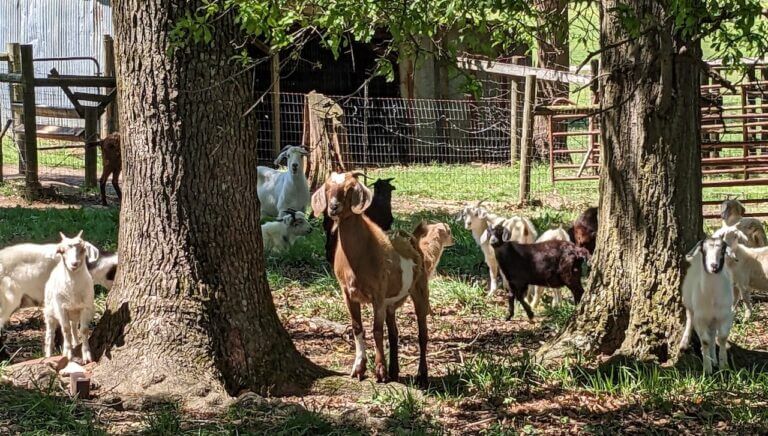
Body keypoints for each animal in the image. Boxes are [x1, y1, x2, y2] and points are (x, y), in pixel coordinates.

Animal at [43, 233, 95, 362]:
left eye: (83, 249)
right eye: (62, 251)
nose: (74, 264)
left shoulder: (85, 307)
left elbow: (83, 330)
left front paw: (86, 355)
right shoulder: (61, 308)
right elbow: (65, 329)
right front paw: (68, 353)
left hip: (74, 313)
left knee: (74, 329)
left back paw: (75, 343)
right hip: (49, 312)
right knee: (50, 334)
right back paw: (48, 355)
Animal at [312, 172, 432, 386]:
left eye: (350, 189)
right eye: (327, 189)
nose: (333, 207)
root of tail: (412, 238)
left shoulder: (378, 293)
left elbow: (376, 330)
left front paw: (380, 371)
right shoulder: (347, 293)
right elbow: (357, 327)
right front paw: (359, 368)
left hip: (419, 288)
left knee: (422, 332)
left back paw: (421, 374)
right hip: (390, 302)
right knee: (394, 332)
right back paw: (395, 371)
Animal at [680, 237, 736, 376]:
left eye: (722, 251)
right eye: (704, 250)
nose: (714, 266)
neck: (712, 298)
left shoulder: (726, 315)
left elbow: (722, 337)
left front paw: (723, 365)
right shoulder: (700, 318)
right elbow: (705, 340)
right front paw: (707, 368)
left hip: (713, 317)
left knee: (713, 333)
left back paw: (714, 359)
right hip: (689, 303)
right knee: (690, 319)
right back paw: (684, 343)